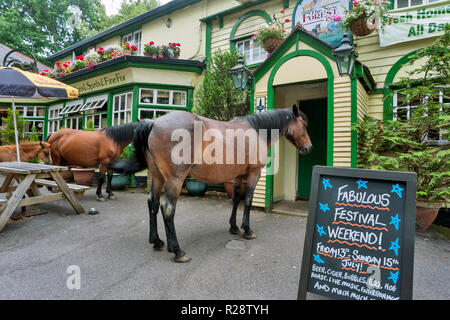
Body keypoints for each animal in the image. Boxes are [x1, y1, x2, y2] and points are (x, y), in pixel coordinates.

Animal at [112, 105, 312, 262]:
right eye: (304, 124)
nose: (308, 148)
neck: (256, 131)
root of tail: (153, 123)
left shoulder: (237, 176)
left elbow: (236, 200)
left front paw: (234, 227)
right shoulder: (254, 174)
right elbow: (247, 201)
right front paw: (247, 230)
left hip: (157, 177)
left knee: (152, 204)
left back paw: (158, 242)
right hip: (175, 180)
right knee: (167, 209)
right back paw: (177, 251)